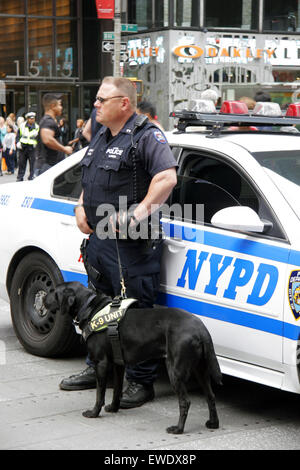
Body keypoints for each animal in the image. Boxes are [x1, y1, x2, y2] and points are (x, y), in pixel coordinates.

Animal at [43, 280, 221, 436]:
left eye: (54, 292)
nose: (43, 297)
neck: (90, 307)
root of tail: (200, 327)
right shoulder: (118, 364)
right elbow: (116, 390)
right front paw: (114, 408)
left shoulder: (101, 363)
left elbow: (100, 394)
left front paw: (94, 412)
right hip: (200, 370)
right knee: (211, 396)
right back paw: (213, 423)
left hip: (175, 371)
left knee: (185, 402)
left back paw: (178, 429)